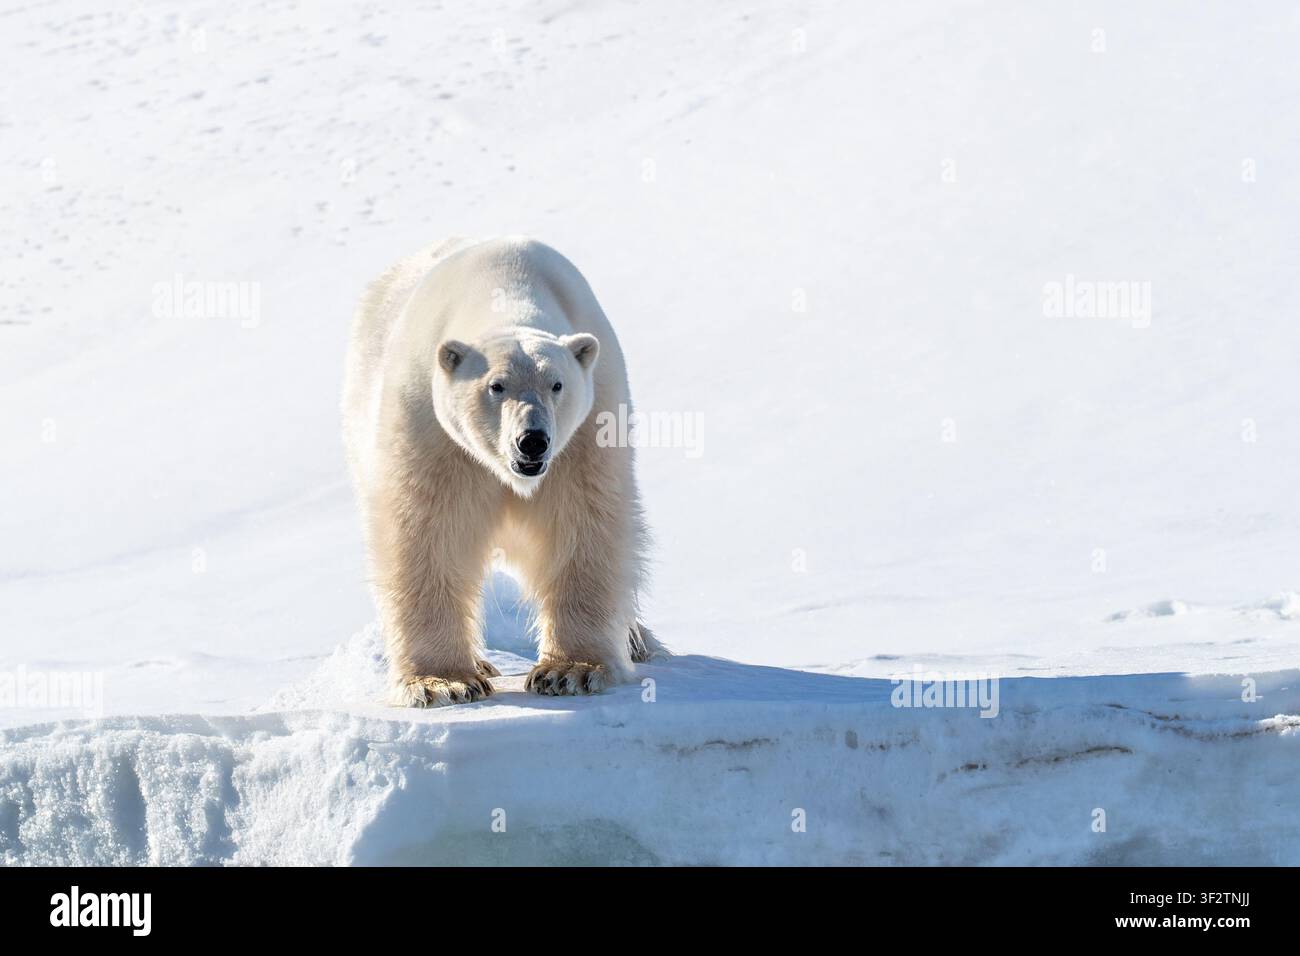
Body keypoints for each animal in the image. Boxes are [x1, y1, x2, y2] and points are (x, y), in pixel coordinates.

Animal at [342, 236, 663, 707]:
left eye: (557, 384)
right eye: (496, 386)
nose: (532, 440)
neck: (504, 283)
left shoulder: (588, 429)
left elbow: (583, 522)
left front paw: (571, 671)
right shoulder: (429, 426)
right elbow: (427, 530)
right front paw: (443, 682)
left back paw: (640, 642)